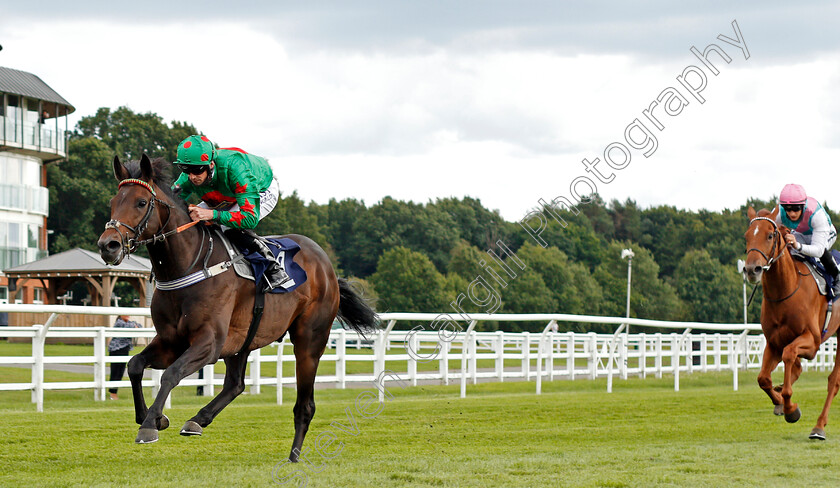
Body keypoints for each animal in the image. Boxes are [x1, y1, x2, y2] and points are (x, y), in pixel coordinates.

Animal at [96, 154, 378, 460]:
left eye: (141, 202)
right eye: (113, 201)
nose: (108, 245)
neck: (187, 265)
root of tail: (327, 266)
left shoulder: (209, 342)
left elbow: (171, 374)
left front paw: (149, 425)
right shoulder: (172, 340)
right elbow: (135, 364)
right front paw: (152, 417)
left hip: (309, 340)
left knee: (305, 405)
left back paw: (293, 456)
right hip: (244, 338)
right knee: (235, 383)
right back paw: (198, 420)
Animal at [744, 206, 840, 438]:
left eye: (770, 235)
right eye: (747, 236)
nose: (752, 270)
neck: (786, 290)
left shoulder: (812, 342)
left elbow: (789, 355)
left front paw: (790, 408)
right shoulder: (773, 342)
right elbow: (763, 378)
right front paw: (780, 400)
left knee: (833, 381)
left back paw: (819, 427)